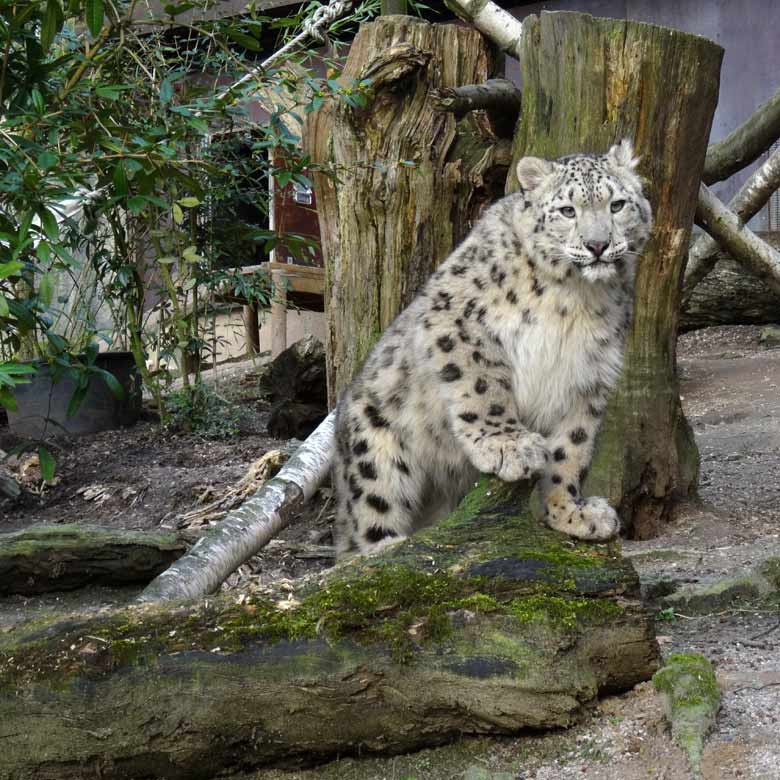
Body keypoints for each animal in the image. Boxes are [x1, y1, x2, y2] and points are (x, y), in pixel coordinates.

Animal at [334, 139, 652, 556]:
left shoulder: (589, 376)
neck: (576, 298)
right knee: (367, 520)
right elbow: (483, 385)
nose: (597, 245)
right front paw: (508, 446)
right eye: (567, 210)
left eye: (617, 204)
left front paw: (570, 511)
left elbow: (571, 447)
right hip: (374, 454)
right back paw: (384, 549)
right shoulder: (457, 318)